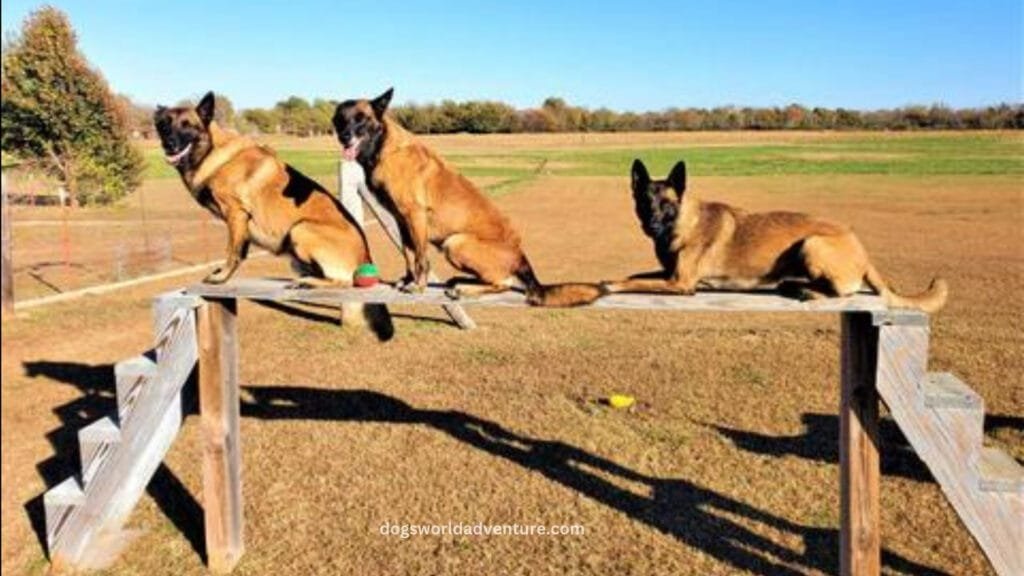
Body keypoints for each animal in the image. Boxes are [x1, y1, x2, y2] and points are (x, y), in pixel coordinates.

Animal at [153, 91, 393, 338]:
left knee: (344, 281)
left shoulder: (235, 214)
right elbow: (240, 251)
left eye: (187, 125)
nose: (168, 144)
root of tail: (365, 255)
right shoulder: (241, 222)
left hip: (300, 228)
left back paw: (309, 283)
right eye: (163, 125)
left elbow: (232, 251)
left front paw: (221, 277)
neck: (213, 152)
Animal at [327, 86, 602, 305]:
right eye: (340, 119)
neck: (384, 147)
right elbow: (407, 253)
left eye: (361, 119)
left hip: (455, 242)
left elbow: (421, 258)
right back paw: (459, 282)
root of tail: (520, 254)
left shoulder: (415, 216)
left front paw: (418, 285)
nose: (344, 136)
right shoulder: (401, 219)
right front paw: (407, 279)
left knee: (503, 283)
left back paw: (464, 289)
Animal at [602, 157, 946, 313]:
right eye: (644, 203)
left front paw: (608, 285)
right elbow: (636, 274)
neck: (684, 222)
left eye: (667, 205)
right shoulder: (669, 274)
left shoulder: (680, 283)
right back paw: (794, 285)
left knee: (843, 292)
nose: (651, 226)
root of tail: (862, 249)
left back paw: (809, 292)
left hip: (812, 244)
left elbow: (630, 282)